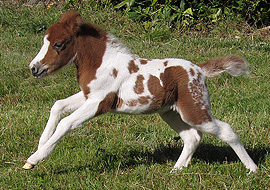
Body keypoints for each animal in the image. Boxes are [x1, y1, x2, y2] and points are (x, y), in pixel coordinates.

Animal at [23, 10, 258, 174]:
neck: (103, 63)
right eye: (45, 41)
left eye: (58, 44)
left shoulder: (99, 102)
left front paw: (35, 158)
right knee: (192, 137)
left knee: (226, 130)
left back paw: (252, 169)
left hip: (194, 109)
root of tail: (199, 70)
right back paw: (176, 170)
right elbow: (58, 106)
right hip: (170, 112)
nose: (34, 68)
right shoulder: (88, 95)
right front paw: (40, 145)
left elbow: (66, 123)